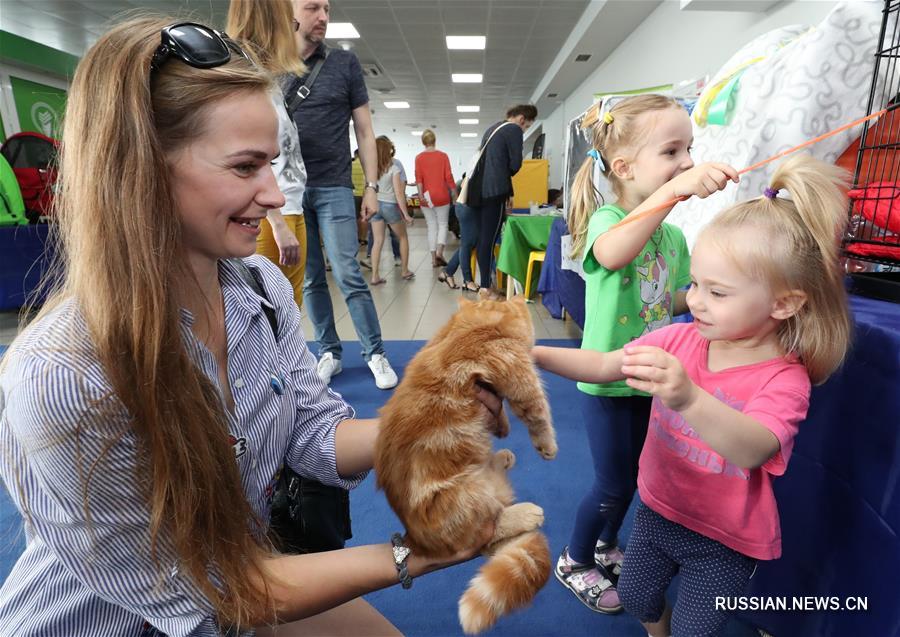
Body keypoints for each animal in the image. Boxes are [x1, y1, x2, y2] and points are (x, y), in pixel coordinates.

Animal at [372, 296, 556, 632]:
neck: (468, 327)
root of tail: (417, 541)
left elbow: (502, 412)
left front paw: (502, 425)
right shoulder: (520, 376)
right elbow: (538, 414)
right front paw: (546, 445)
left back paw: (501, 457)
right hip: (469, 498)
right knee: (490, 526)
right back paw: (525, 512)